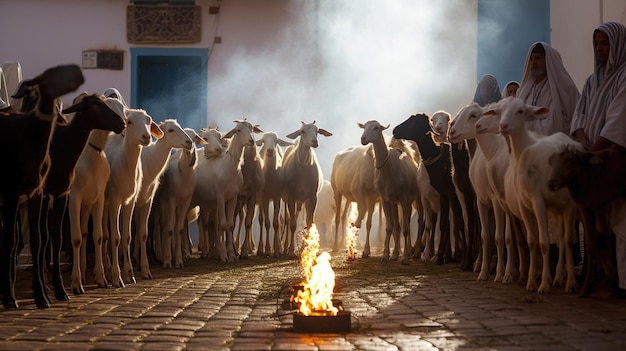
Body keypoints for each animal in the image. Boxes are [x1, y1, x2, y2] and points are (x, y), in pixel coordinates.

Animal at [102, 108, 162, 288]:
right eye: (129, 122)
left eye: (149, 121)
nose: (146, 137)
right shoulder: (115, 200)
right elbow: (115, 237)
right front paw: (117, 278)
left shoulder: (130, 202)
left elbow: (127, 237)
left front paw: (129, 275)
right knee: (104, 234)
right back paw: (105, 271)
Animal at [358, 120, 416, 264]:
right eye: (364, 126)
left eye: (376, 127)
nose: (363, 139)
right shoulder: (386, 199)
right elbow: (390, 227)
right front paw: (385, 255)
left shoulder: (404, 197)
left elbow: (405, 229)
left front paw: (405, 258)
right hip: (395, 203)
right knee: (397, 226)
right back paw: (395, 254)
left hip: (412, 200)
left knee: (408, 224)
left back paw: (409, 252)